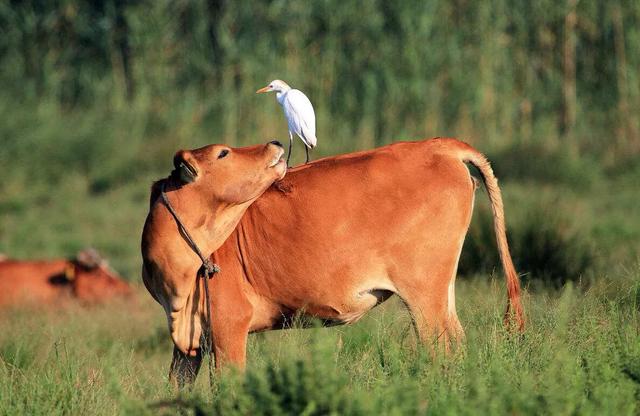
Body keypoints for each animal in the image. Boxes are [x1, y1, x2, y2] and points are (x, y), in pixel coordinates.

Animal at [142, 137, 524, 386]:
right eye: (222, 153)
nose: (275, 142)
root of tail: (438, 145)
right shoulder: (189, 343)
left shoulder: (229, 325)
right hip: (442, 291)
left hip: (423, 294)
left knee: (440, 349)